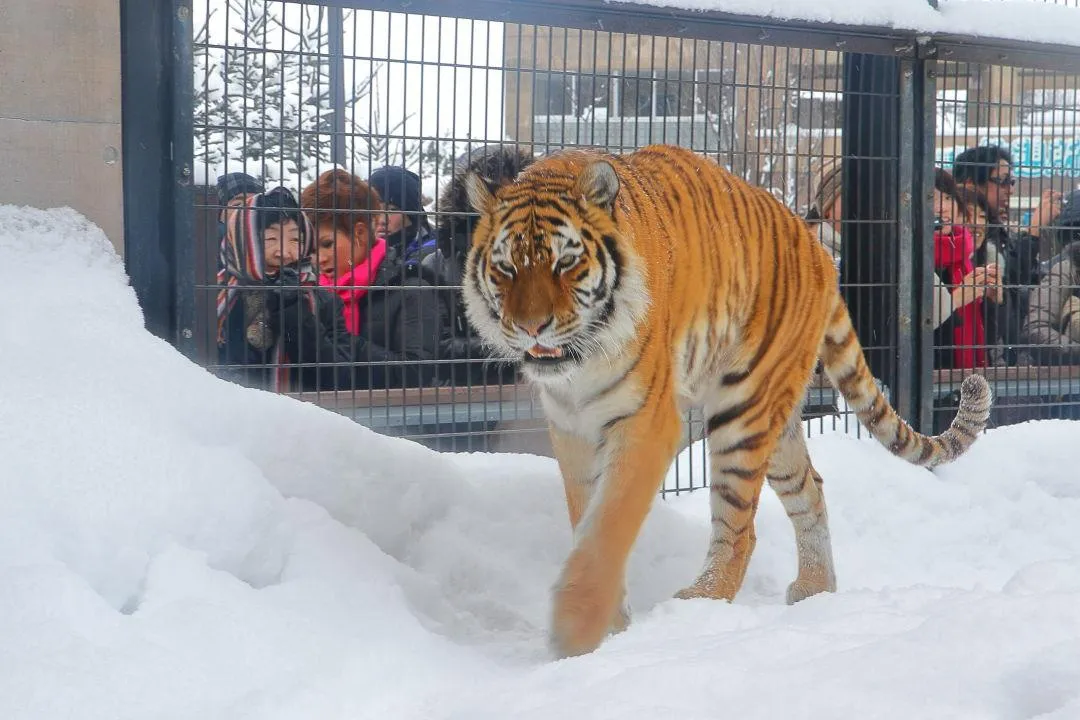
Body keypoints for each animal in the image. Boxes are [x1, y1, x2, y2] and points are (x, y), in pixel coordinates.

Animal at [460, 142, 989, 660]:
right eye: (506, 268)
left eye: (565, 263)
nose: (531, 327)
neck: (579, 368)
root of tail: (816, 246)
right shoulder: (572, 429)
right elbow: (585, 523)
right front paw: (610, 621)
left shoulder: (646, 423)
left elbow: (609, 525)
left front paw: (577, 630)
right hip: (777, 424)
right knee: (811, 488)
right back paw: (815, 588)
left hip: (744, 411)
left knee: (740, 528)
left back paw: (701, 600)